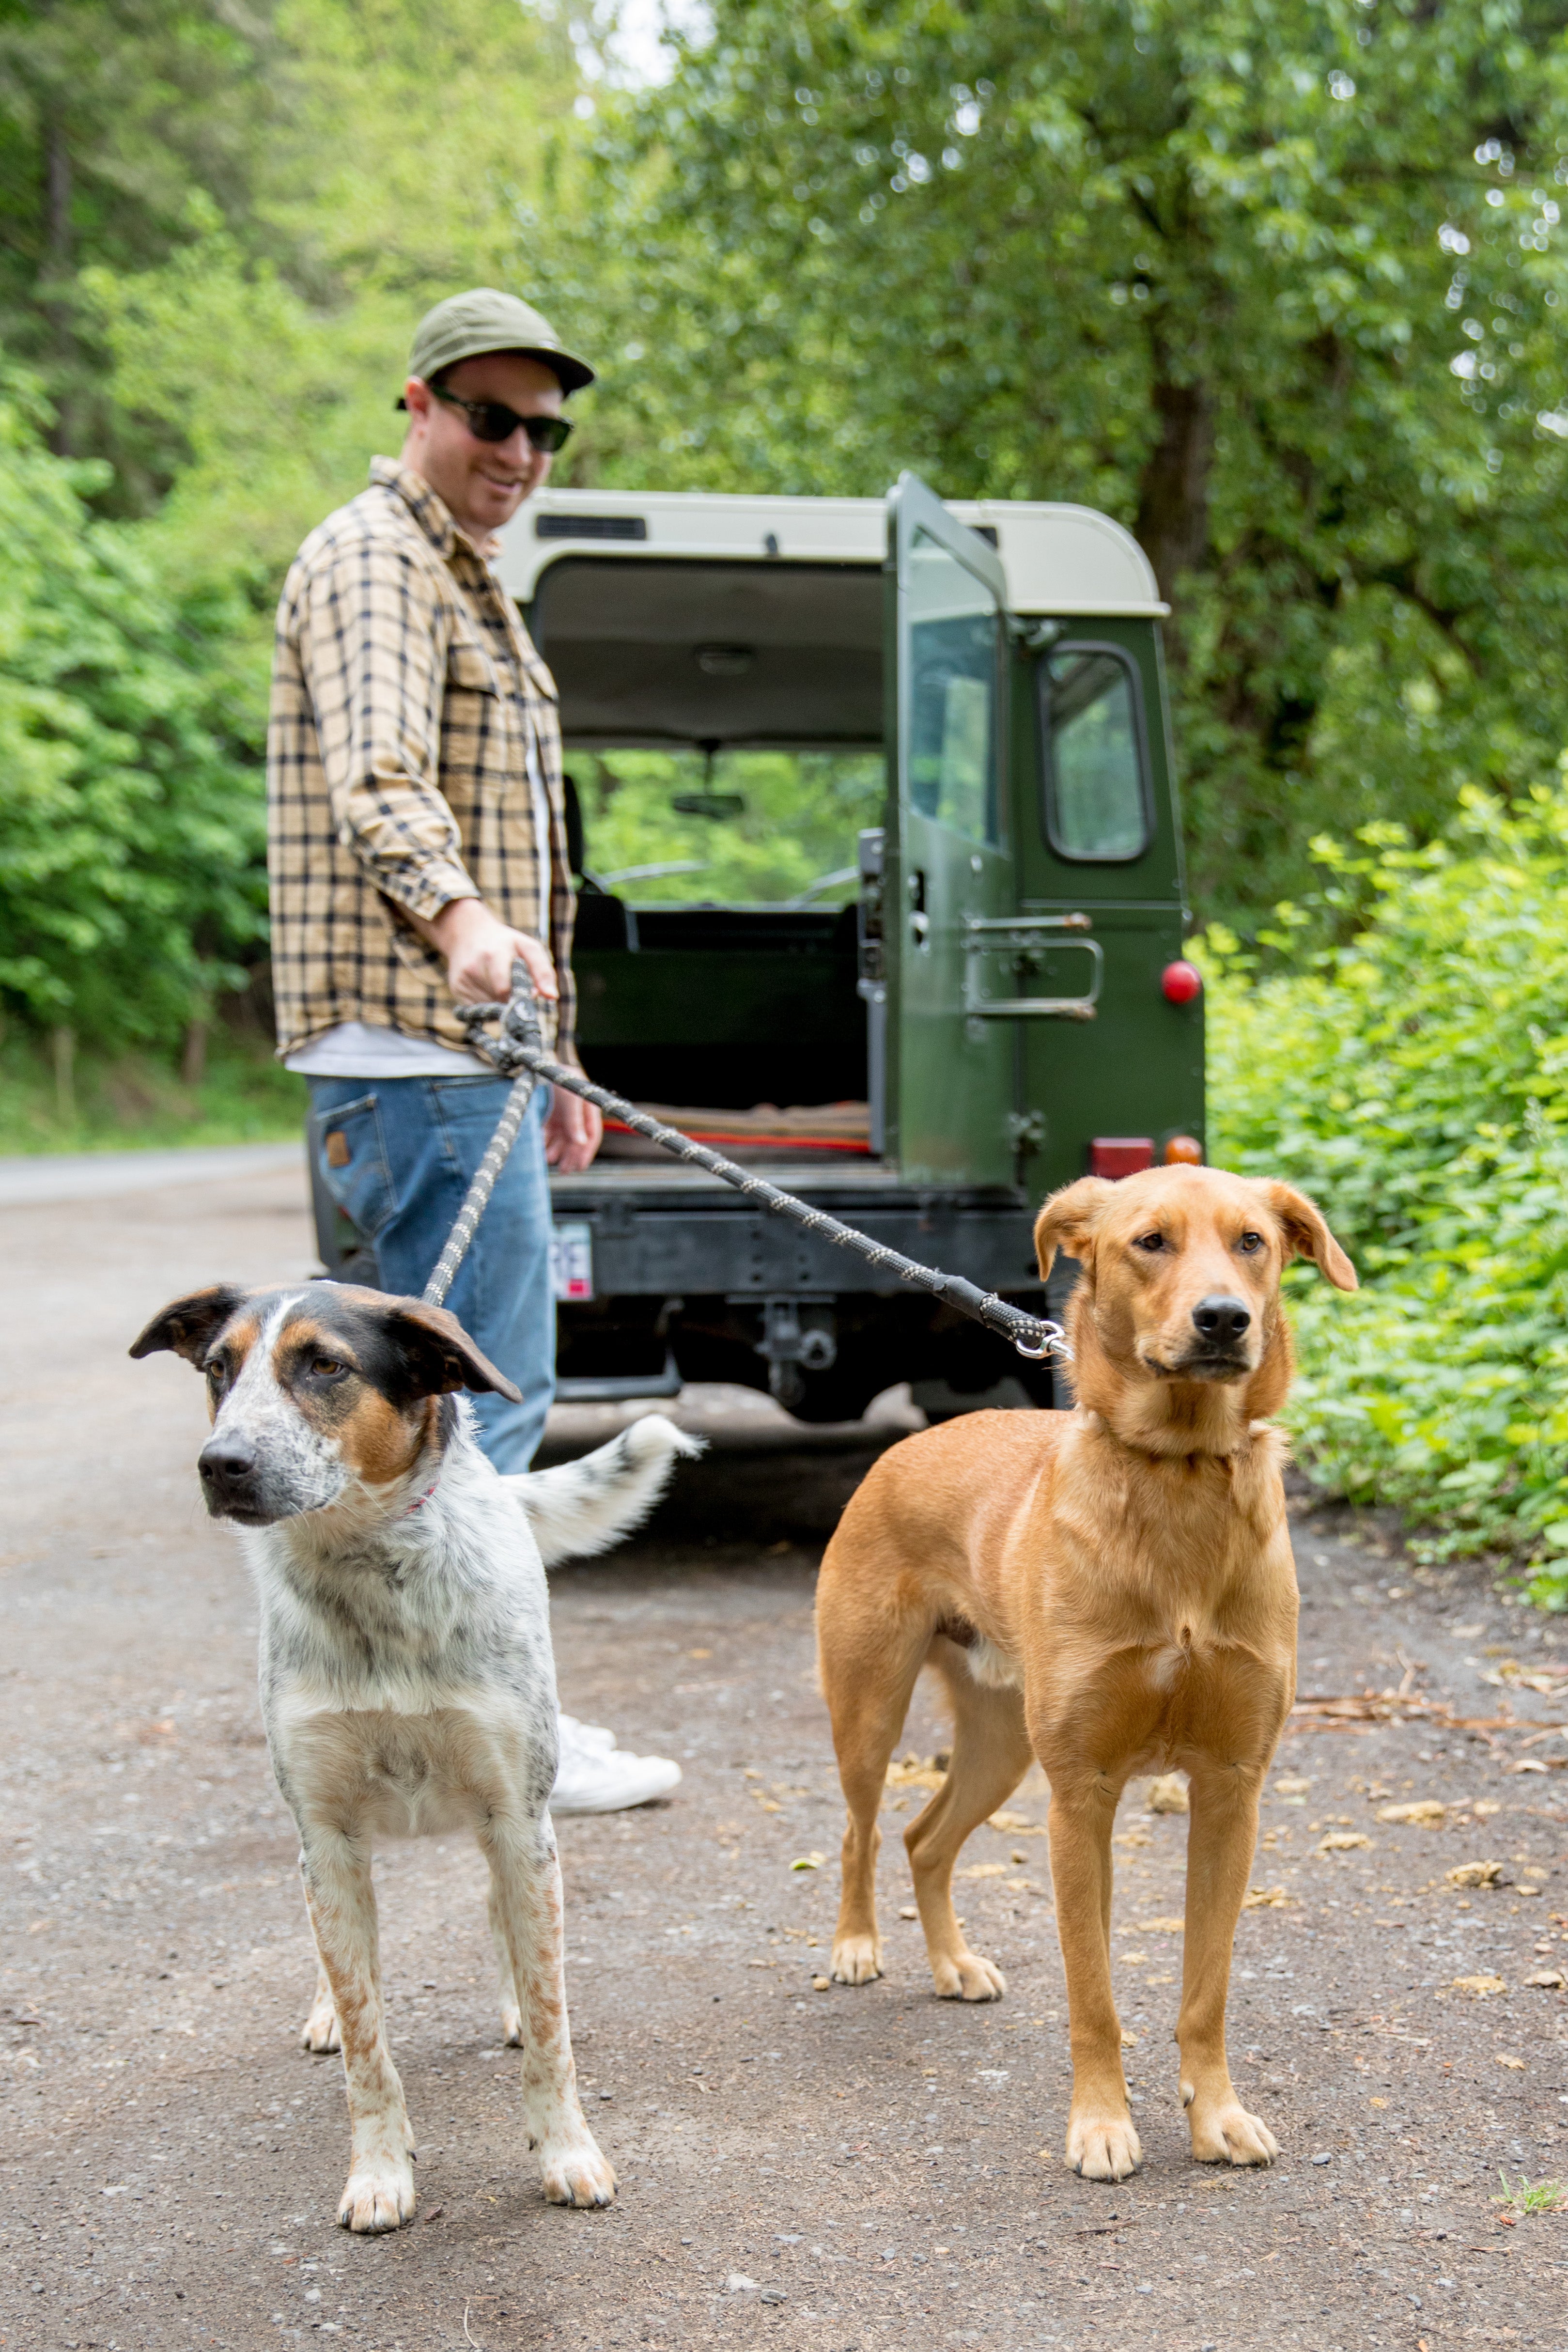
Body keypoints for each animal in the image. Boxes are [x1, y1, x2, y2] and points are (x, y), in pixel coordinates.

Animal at [131, 1279, 696, 2229]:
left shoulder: (518, 1818)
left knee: (508, 1924)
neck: (368, 1574)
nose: (221, 1463)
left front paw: (567, 2150)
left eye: (325, 1365)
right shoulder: (325, 1836)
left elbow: (551, 2021)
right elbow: (368, 2039)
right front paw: (379, 2171)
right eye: (218, 1368)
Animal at [818, 1167, 1354, 2173]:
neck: (1178, 1473)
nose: (1223, 1319)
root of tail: (907, 1446)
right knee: (861, 1833)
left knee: (923, 1839)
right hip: (869, 1710)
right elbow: (1093, 1995)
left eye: (1252, 1241)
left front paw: (1216, 2115)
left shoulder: (1230, 1792)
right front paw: (1102, 2125)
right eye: (1150, 1242)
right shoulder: (1081, 1797)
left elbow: (1204, 1990)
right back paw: (856, 1945)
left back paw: (951, 1964)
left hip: (1000, 1747)